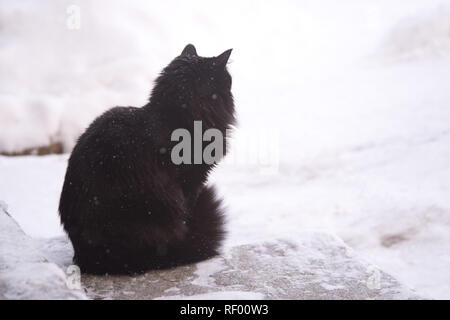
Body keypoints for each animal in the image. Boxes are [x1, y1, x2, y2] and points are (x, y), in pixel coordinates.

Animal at [58, 44, 236, 276]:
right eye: (228, 79)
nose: (232, 84)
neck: (179, 117)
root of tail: (92, 257)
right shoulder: (191, 181)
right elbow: (188, 211)